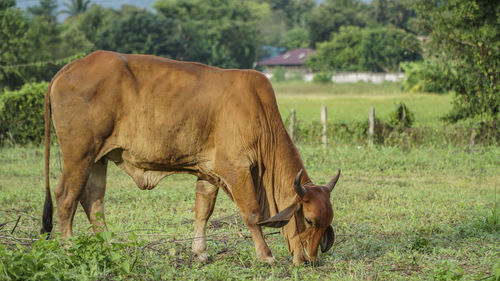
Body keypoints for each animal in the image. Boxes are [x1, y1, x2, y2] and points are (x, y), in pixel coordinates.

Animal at [41, 50, 342, 264]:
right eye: (310, 220)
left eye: (326, 223)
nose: (311, 260)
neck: (259, 112)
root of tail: (66, 70)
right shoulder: (236, 168)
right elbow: (252, 212)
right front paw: (266, 255)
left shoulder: (208, 172)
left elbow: (203, 210)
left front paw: (200, 251)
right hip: (79, 154)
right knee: (66, 198)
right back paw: (69, 249)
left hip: (97, 159)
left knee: (93, 202)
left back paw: (108, 246)